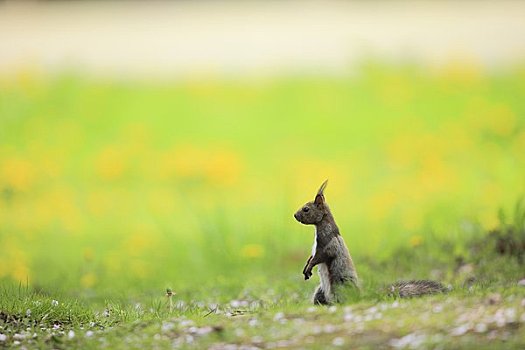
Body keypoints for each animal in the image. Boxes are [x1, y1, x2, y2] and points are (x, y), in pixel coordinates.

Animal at [292, 180, 444, 304]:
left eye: (306, 209)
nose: (295, 215)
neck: (320, 226)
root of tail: (359, 296)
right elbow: (312, 256)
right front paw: (306, 267)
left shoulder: (328, 243)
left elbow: (319, 256)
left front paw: (309, 267)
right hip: (320, 292)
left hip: (340, 285)